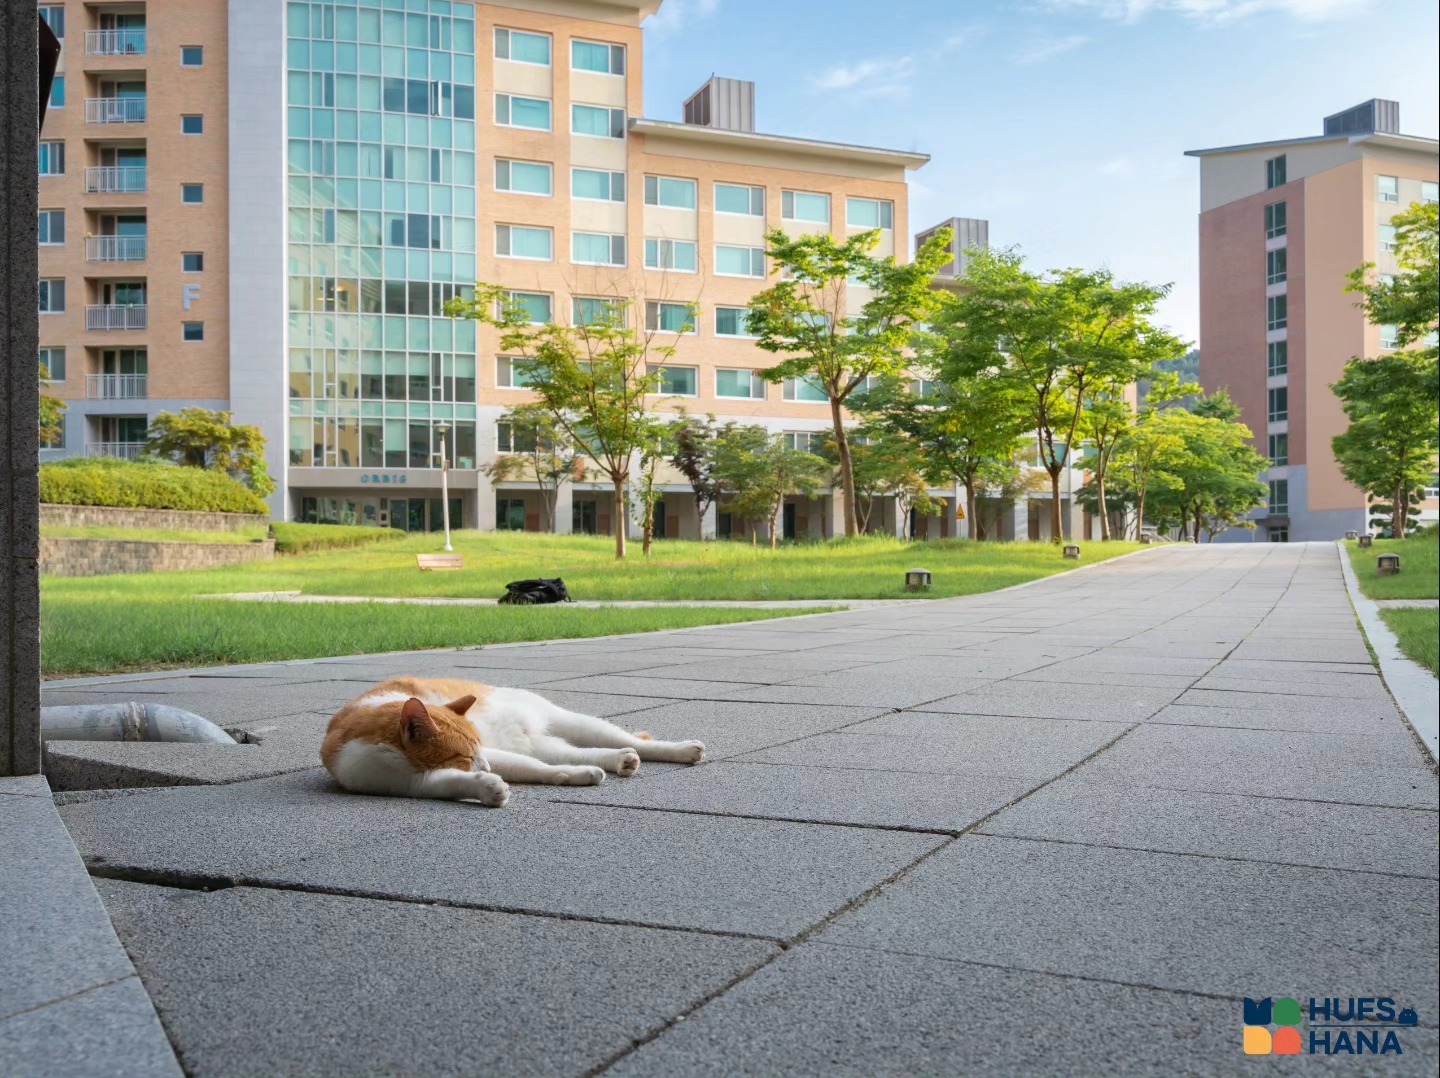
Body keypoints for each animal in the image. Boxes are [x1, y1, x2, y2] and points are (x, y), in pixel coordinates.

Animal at [325, 676, 708, 805]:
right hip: (543, 744)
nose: (486, 764)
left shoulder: (493, 752)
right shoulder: (412, 783)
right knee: (579, 753)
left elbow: (535, 768)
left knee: (630, 741)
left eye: (476, 751)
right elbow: (450, 783)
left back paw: (681, 750)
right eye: (466, 757)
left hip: (571, 722)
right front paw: (488, 788)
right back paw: (617, 761)